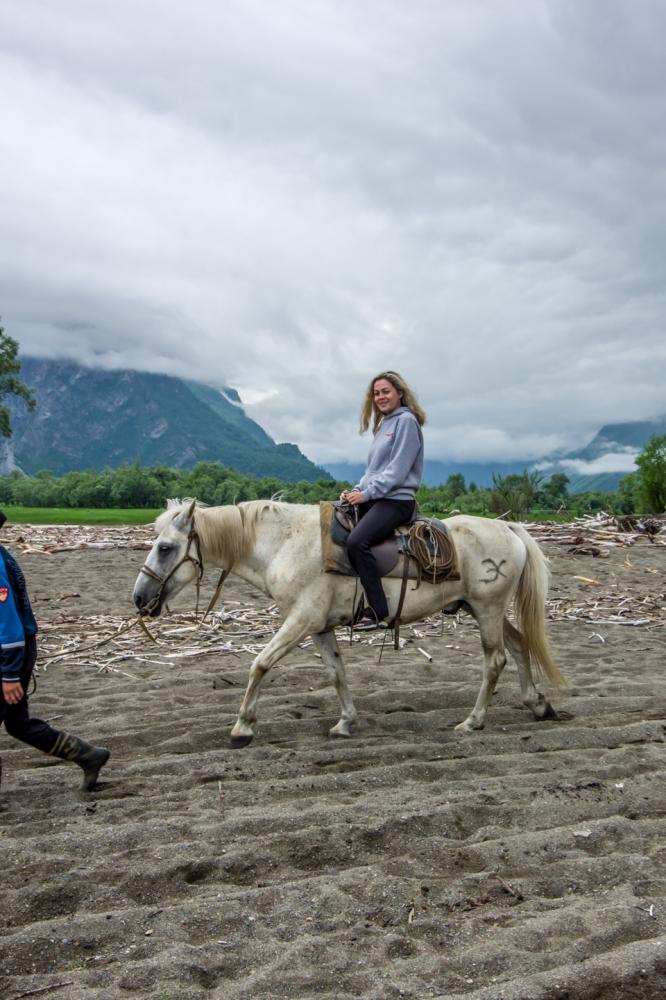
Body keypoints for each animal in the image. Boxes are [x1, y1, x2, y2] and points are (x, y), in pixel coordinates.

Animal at [132, 500, 564, 744]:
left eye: (165, 548)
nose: (139, 598)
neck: (285, 543)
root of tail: (507, 526)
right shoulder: (320, 626)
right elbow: (336, 673)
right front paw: (345, 722)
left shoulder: (301, 620)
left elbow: (260, 664)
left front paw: (242, 726)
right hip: (483, 610)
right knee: (520, 647)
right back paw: (537, 704)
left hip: (488, 609)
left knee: (495, 661)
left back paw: (473, 722)